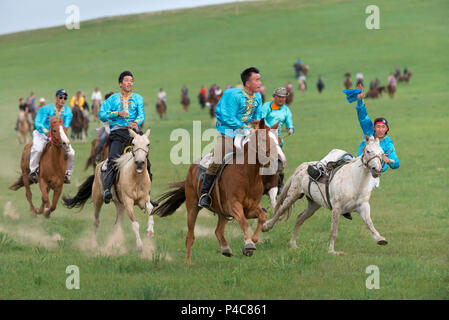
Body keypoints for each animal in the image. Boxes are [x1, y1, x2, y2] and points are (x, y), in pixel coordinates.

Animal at [152, 119, 286, 264]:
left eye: (279, 140)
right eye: (263, 139)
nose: (281, 161)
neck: (247, 176)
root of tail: (192, 169)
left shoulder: (250, 208)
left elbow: (262, 216)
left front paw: (252, 242)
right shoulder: (234, 206)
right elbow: (244, 222)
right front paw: (249, 244)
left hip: (223, 212)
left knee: (218, 231)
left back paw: (225, 248)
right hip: (192, 207)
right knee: (190, 236)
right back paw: (188, 262)